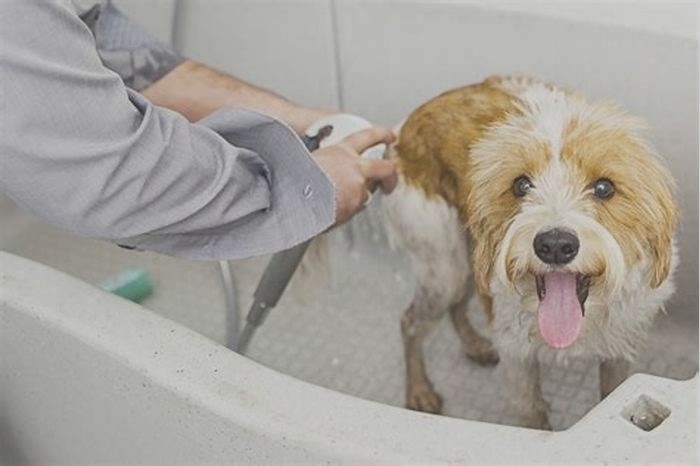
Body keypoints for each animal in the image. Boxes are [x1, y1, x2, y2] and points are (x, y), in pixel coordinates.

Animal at [380, 76, 680, 430]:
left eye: (604, 187)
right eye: (521, 185)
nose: (555, 245)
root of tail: (403, 130)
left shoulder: (620, 345)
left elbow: (610, 392)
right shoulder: (517, 355)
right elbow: (530, 412)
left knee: (455, 306)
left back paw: (474, 345)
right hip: (443, 266)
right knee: (410, 321)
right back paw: (420, 390)